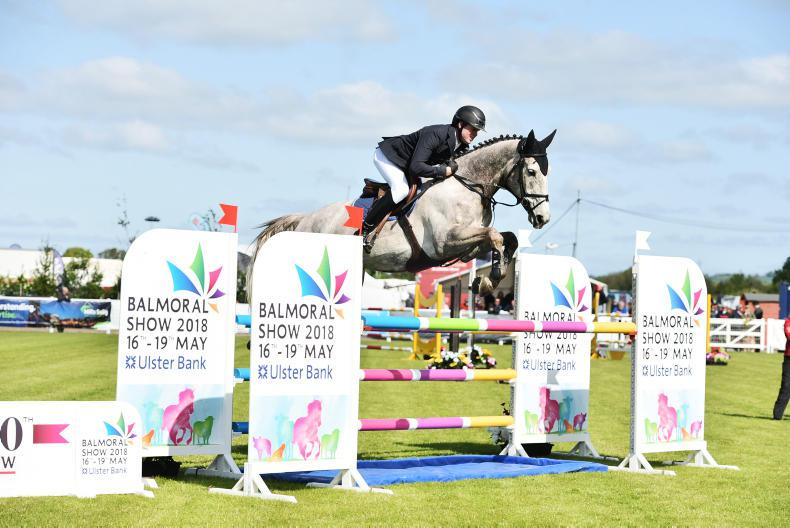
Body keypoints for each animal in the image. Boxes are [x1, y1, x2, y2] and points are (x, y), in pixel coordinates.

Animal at [249, 129, 555, 296]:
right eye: (531, 171)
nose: (543, 218)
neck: (468, 186)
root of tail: (306, 218)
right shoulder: (445, 242)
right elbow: (496, 236)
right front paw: (490, 280)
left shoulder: (467, 247)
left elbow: (507, 238)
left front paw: (487, 281)